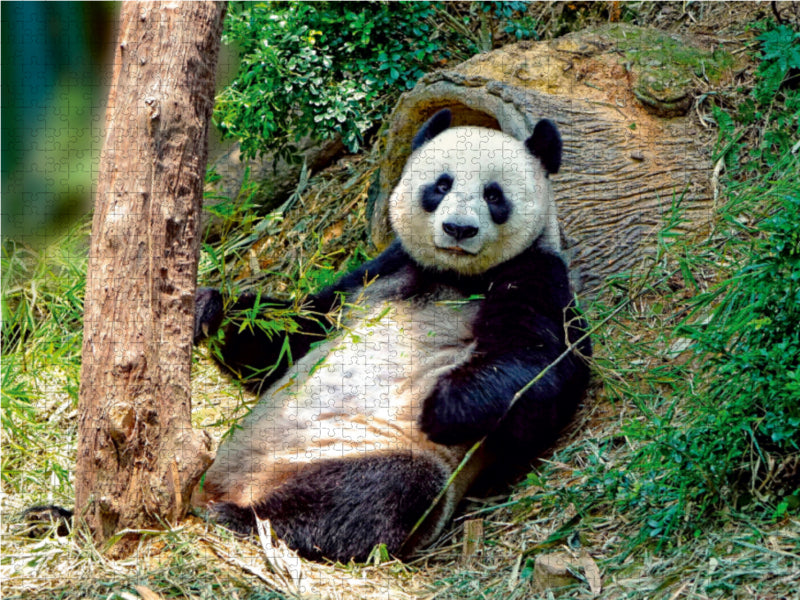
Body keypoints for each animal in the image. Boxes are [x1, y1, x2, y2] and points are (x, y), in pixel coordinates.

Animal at [192, 109, 592, 562]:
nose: (458, 229)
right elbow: (293, 334)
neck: (453, 275)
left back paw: (247, 519)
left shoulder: (536, 273)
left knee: (374, 493)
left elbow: (543, 365)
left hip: (363, 449)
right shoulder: (378, 271)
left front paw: (445, 407)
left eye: (494, 195)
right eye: (441, 185)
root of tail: (237, 485)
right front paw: (210, 309)